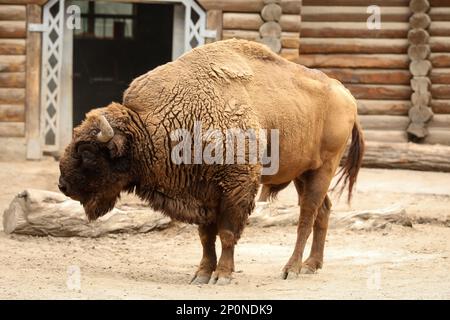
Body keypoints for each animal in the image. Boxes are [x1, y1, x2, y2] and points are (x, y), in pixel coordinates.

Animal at [58, 39, 364, 284]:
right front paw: (202, 274)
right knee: (323, 211)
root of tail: (346, 94)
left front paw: (223, 275)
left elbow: (227, 233)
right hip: (303, 172)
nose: (62, 185)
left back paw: (292, 269)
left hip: (324, 168)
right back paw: (312, 265)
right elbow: (206, 237)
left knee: (306, 216)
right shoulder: (201, 192)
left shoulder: (235, 189)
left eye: (87, 152)